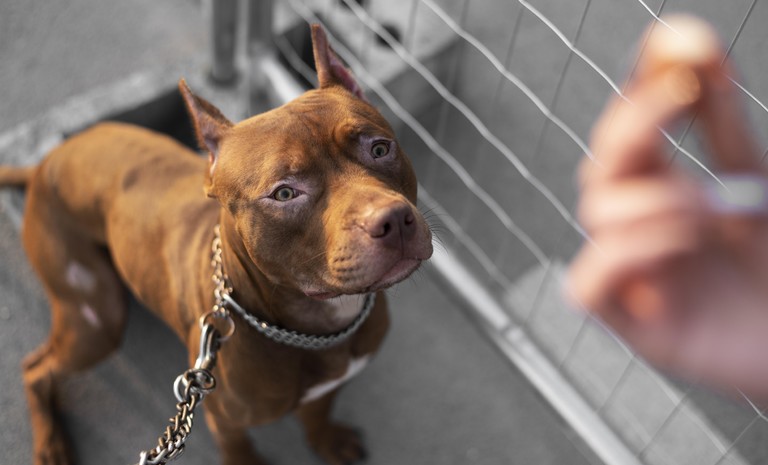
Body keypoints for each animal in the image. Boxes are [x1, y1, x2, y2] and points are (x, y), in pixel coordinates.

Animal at [2, 24, 433, 465]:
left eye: (379, 148)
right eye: (284, 193)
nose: (393, 221)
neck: (318, 327)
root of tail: (42, 164)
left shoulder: (329, 387)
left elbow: (317, 413)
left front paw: (327, 441)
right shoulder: (223, 420)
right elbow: (240, 451)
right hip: (97, 317)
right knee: (35, 369)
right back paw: (51, 441)